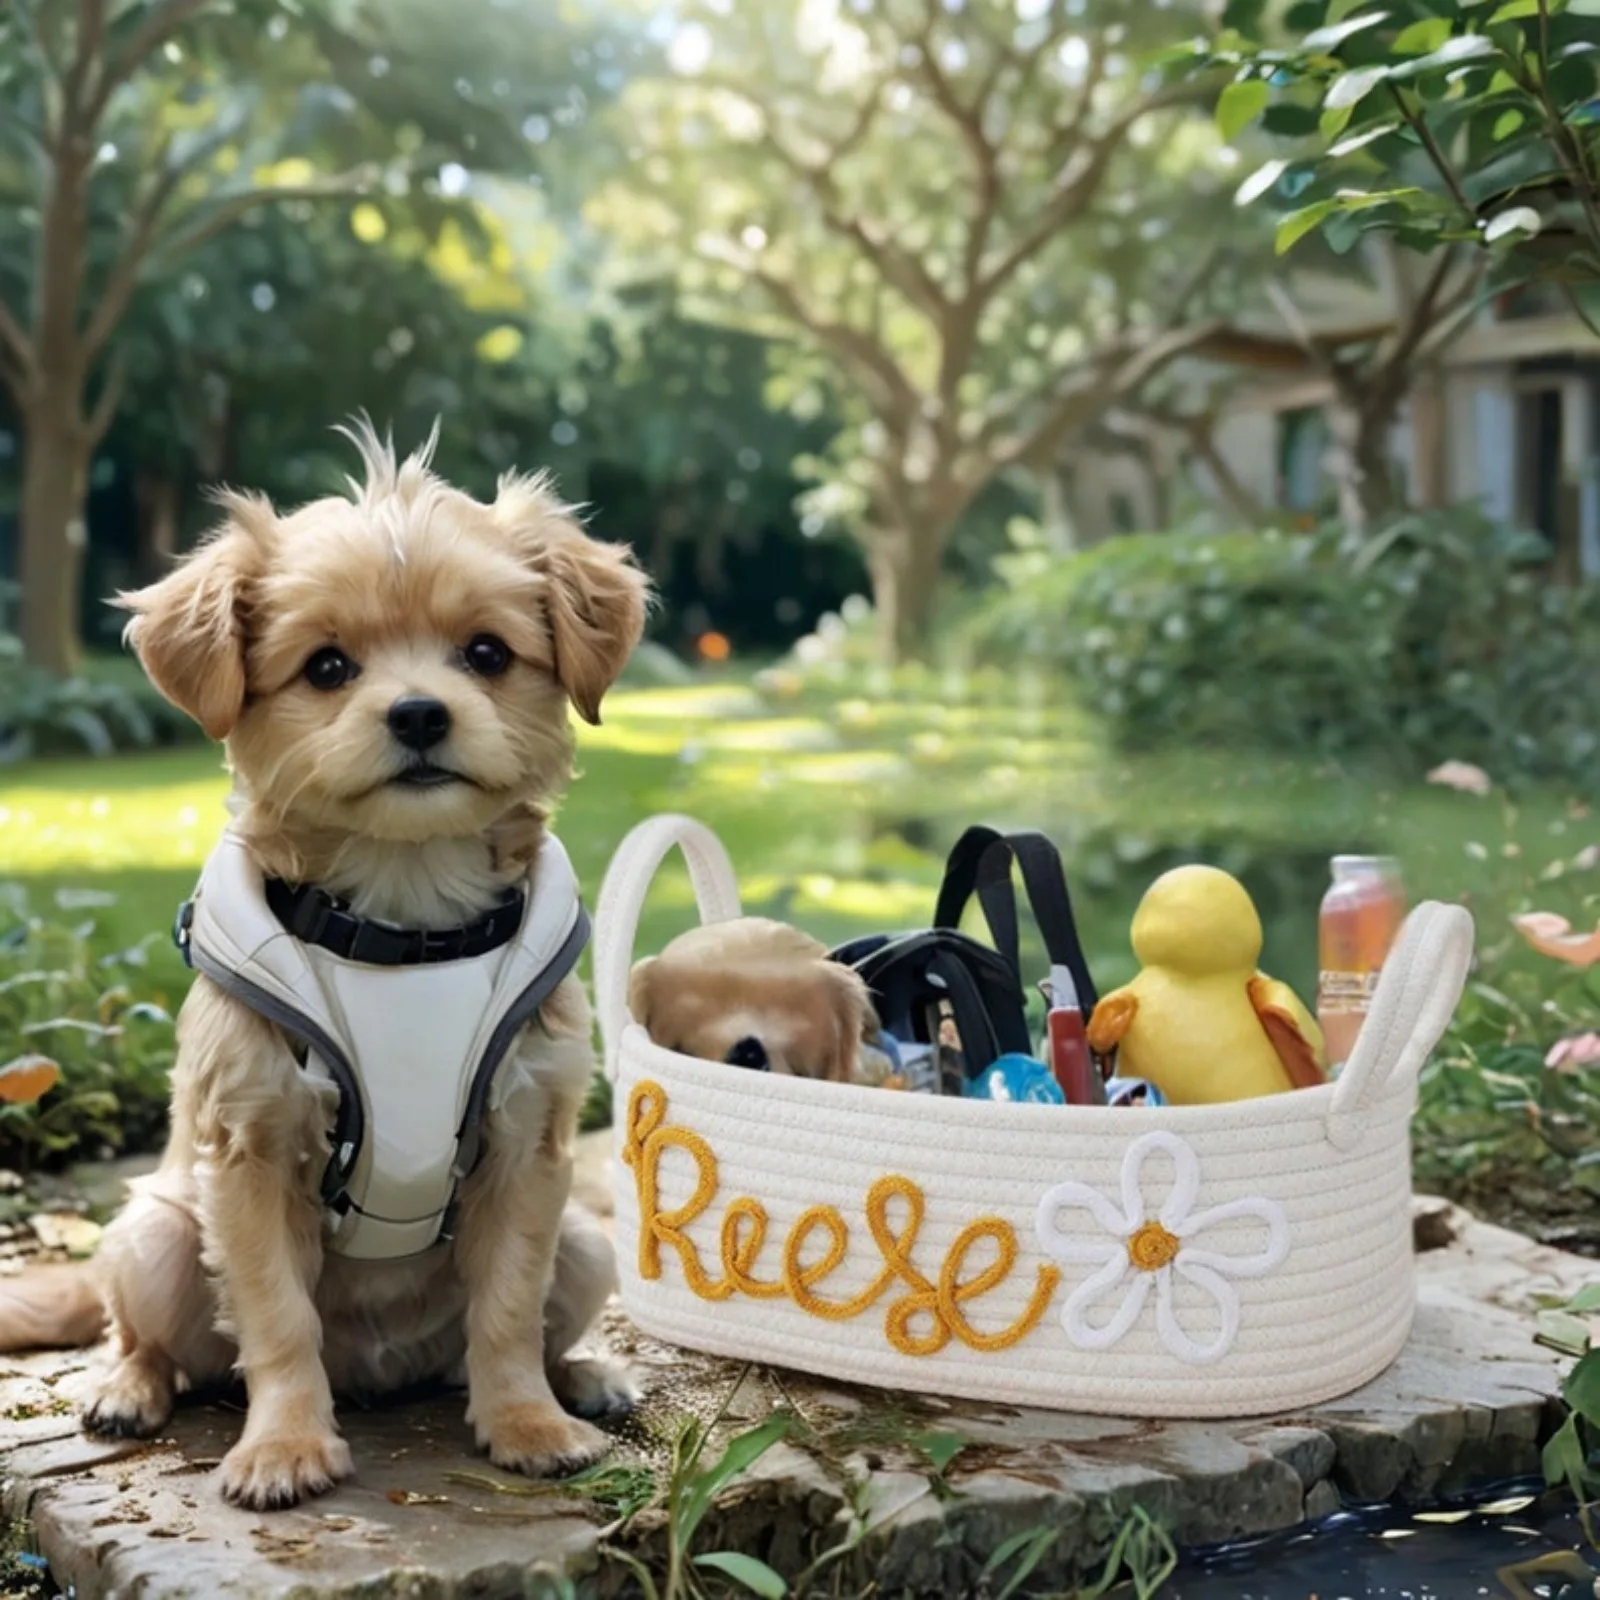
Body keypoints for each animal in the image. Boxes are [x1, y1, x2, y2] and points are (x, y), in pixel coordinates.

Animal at [1, 422, 649, 1510]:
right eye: (327, 665)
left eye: (487, 653)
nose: (421, 713)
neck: (404, 907)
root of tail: (379, 1370)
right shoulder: (251, 1153)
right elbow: (275, 1316)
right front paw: (285, 1445)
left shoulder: (529, 1148)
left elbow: (508, 1309)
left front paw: (525, 1421)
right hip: (155, 1232)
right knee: (144, 1336)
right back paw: (126, 1388)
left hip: (588, 1240)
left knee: (504, 1337)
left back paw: (583, 1376)